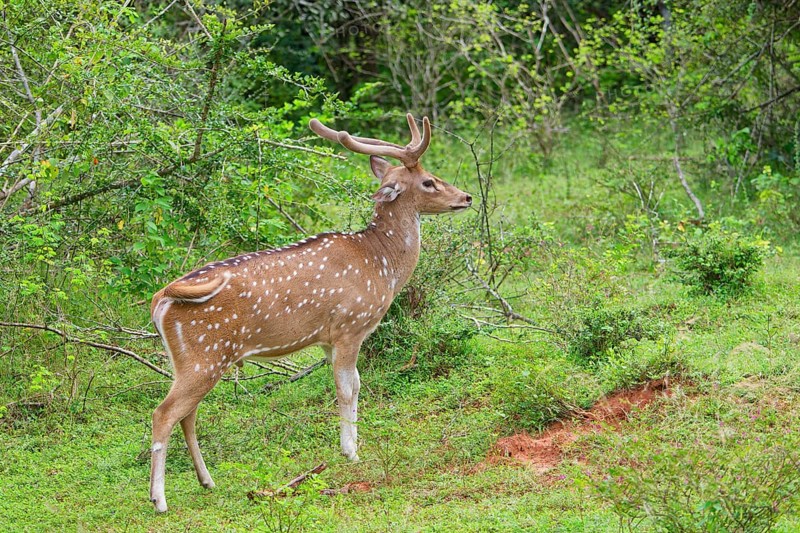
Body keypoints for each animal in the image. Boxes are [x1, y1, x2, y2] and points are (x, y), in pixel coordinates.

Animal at [148, 113, 472, 512]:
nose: (466, 197)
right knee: (164, 413)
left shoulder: (328, 340)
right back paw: (159, 499)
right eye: (428, 181)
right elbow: (346, 388)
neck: (380, 263)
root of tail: (161, 298)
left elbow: (357, 384)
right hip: (204, 356)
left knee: (187, 414)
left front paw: (355, 443)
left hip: (192, 361)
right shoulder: (350, 326)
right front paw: (350, 452)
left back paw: (207, 481)